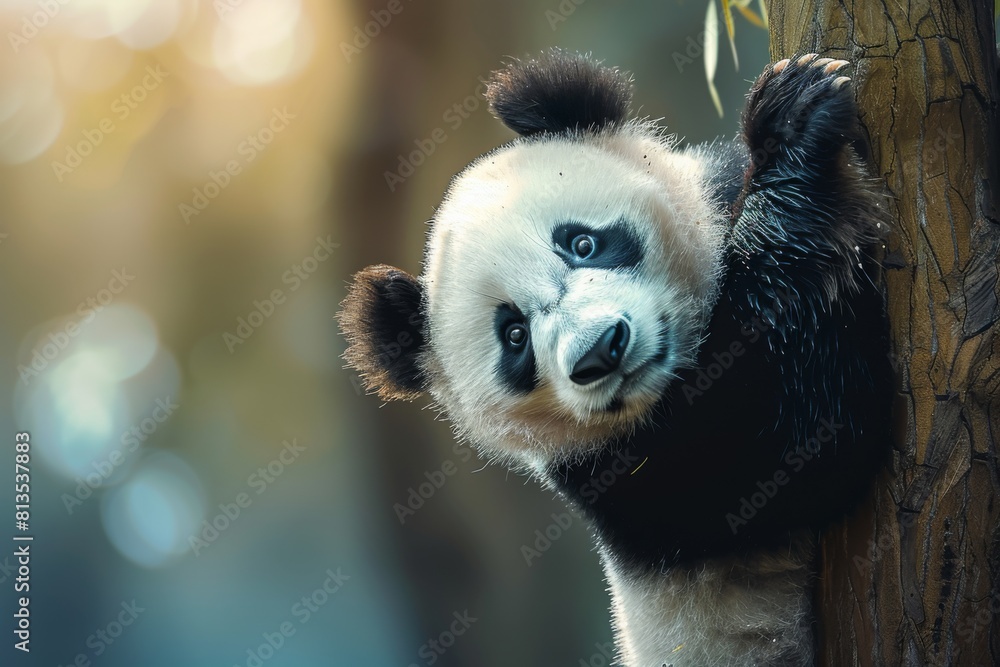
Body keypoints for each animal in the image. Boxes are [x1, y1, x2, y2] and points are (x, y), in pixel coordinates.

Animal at [339, 50, 893, 667]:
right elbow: (811, 434)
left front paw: (796, 106)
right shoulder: (642, 475)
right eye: (514, 336)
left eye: (582, 243)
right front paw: (797, 135)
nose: (601, 350)